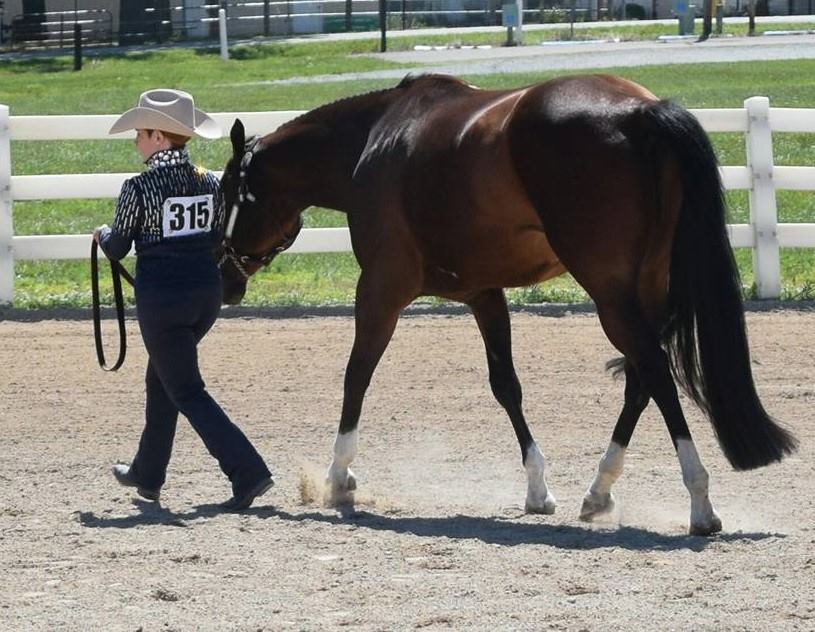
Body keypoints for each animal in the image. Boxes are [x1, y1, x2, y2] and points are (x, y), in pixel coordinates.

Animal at [217, 73, 797, 535]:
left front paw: (339, 478)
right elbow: (506, 386)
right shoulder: (483, 294)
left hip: (610, 294)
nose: (224, 279)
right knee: (639, 382)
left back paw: (699, 500)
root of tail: (640, 112)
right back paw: (599, 491)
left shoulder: (382, 287)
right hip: (644, 289)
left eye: (226, 194)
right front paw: (538, 490)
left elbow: (356, 375)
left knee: (654, 373)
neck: (375, 141)